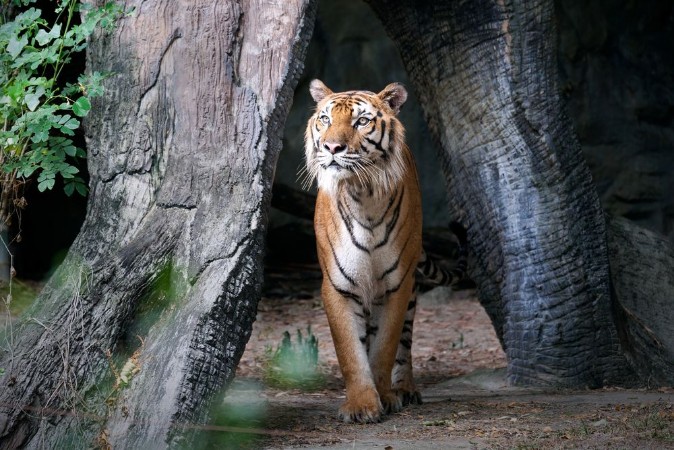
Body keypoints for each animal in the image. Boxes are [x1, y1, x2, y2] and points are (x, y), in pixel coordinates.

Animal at [304, 79, 466, 423]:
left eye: (361, 121)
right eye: (325, 119)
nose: (332, 148)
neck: (362, 195)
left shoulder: (397, 286)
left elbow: (385, 347)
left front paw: (385, 397)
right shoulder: (337, 286)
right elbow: (351, 351)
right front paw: (361, 404)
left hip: (411, 290)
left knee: (405, 342)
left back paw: (405, 389)